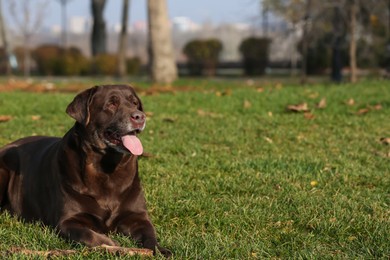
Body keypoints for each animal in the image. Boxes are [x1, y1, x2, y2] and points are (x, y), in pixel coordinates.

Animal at [0, 85, 171, 256]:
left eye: (135, 103)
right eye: (111, 104)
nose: (140, 116)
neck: (107, 168)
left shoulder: (138, 217)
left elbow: (150, 234)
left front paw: (160, 250)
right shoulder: (67, 221)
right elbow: (88, 234)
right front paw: (111, 244)